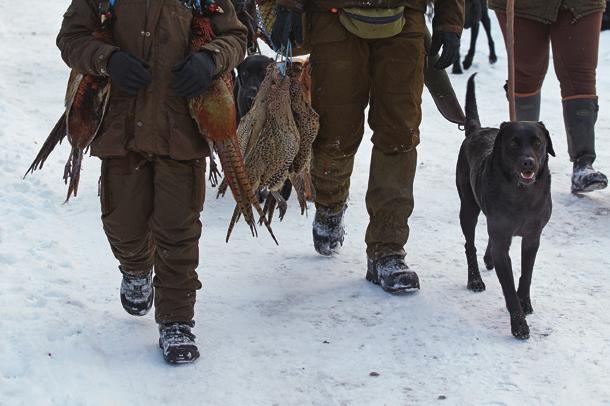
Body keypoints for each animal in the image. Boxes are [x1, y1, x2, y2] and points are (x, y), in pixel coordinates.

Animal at [456, 73, 552, 340]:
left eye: (537, 142)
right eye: (513, 143)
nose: (528, 162)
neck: (522, 195)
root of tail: (476, 130)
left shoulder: (532, 237)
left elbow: (526, 273)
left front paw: (525, 302)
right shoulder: (502, 238)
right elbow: (508, 288)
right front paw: (519, 325)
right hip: (468, 206)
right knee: (469, 244)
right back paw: (475, 279)